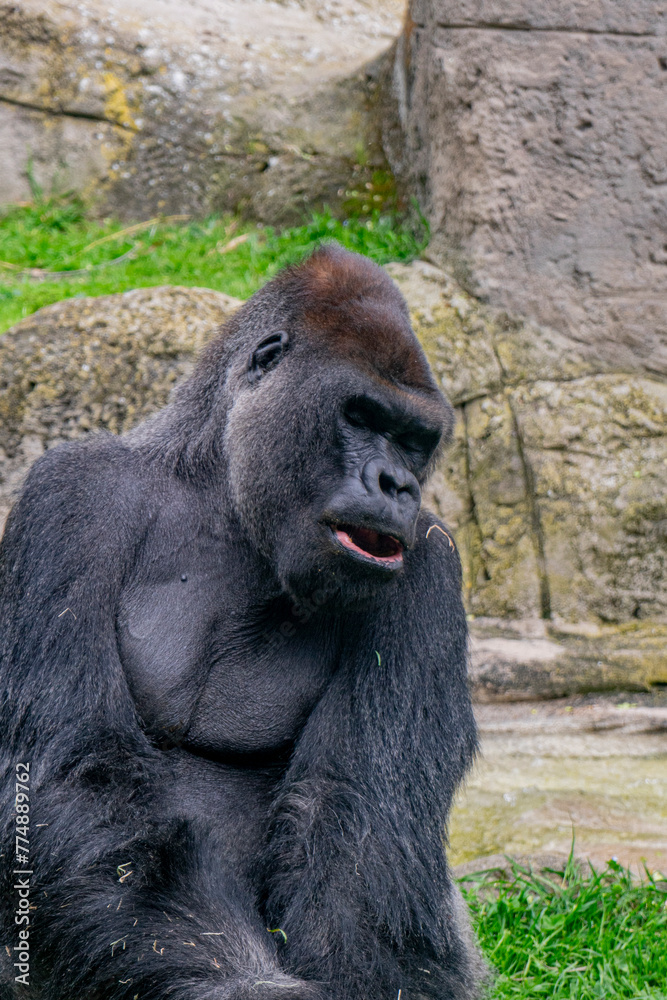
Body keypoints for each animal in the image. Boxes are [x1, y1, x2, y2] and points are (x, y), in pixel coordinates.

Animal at [0, 243, 485, 1000]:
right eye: (362, 416)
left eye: (413, 439)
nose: (397, 485)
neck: (224, 492)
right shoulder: (75, 494)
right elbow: (77, 777)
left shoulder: (428, 564)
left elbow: (359, 823)